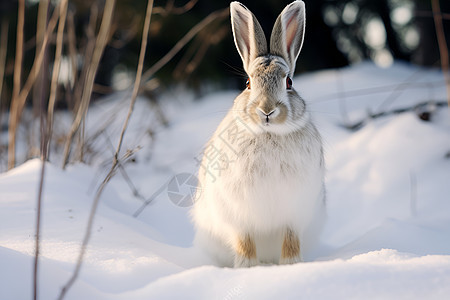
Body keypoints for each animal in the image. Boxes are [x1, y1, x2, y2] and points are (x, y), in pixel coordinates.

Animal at [192, 0, 326, 268]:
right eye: (247, 83)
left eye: (289, 83)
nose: (267, 110)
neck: (269, 134)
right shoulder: (240, 217)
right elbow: (245, 243)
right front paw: (248, 268)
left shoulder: (294, 213)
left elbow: (290, 241)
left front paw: (291, 265)